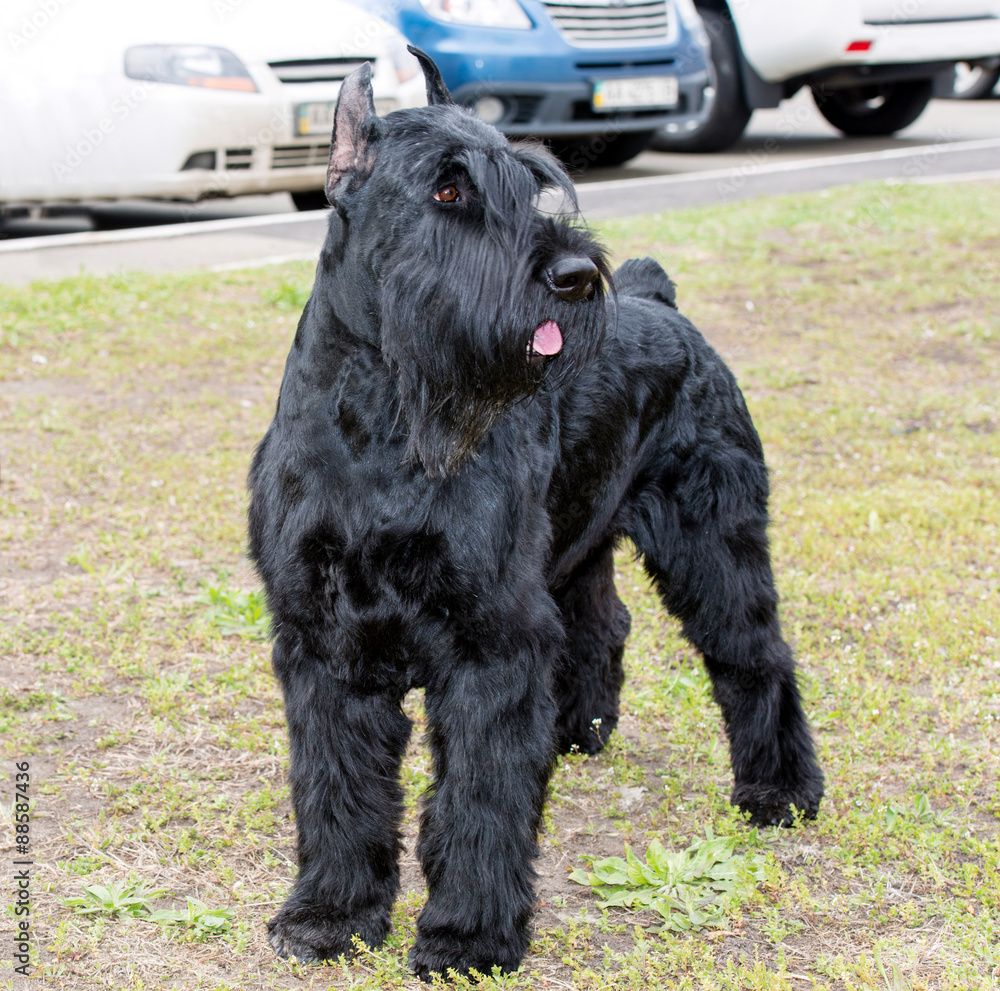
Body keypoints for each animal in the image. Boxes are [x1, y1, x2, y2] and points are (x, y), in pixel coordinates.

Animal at [248, 48, 820, 984]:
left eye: (534, 184)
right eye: (447, 190)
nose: (575, 276)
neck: (386, 419)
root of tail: (664, 305)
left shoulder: (492, 639)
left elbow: (480, 796)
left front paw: (468, 935)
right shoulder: (322, 640)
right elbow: (337, 785)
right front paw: (332, 913)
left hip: (715, 547)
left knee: (754, 656)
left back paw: (780, 790)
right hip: (578, 546)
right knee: (605, 621)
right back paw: (576, 730)